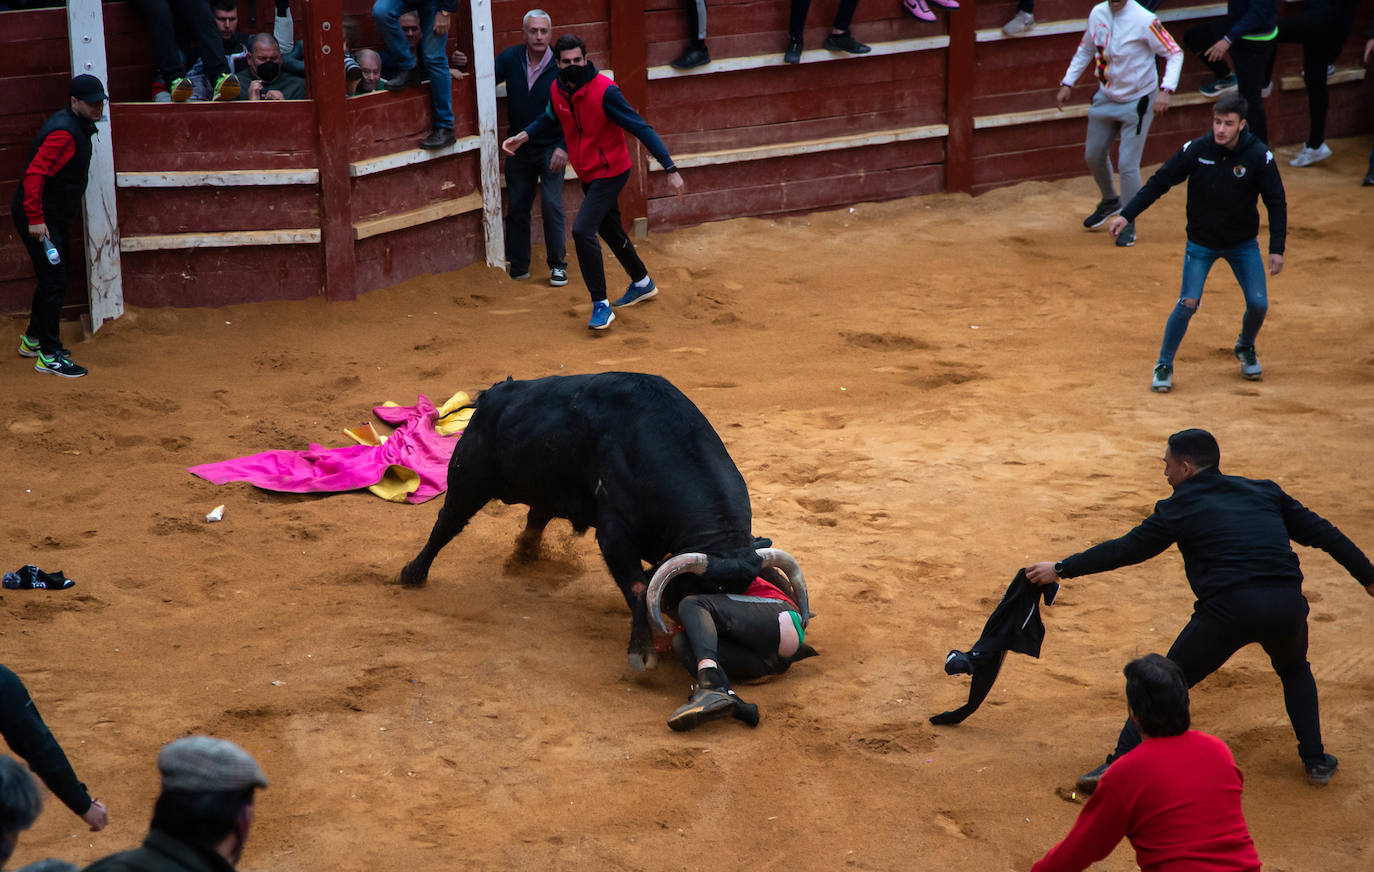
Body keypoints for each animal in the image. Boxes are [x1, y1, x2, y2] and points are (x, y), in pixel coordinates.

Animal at [398, 373, 769, 667]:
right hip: (468, 479)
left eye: (742, 591)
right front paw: (642, 652)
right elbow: (638, 585)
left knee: (536, 516)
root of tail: (496, 393)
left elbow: (648, 579)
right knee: (446, 524)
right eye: (693, 590)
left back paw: (524, 558)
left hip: (542, 484)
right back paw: (412, 574)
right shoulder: (614, 533)